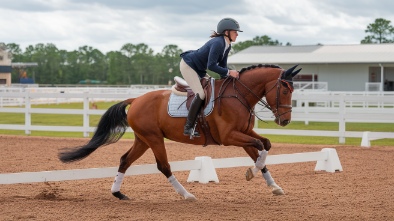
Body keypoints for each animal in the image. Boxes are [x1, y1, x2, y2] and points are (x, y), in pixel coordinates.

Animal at [58, 63, 300, 200]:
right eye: (284, 90)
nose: (285, 120)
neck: (239, 94)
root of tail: (136, 99)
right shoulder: (229, 137)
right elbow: (260, 148)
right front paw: (251, 173)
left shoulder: (244, 133)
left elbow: (264, 147)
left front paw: (274, 186)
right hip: (154, 139)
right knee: (163, 166)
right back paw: (186, 195)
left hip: (143, 139)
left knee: (125, 160)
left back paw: (118, 193)